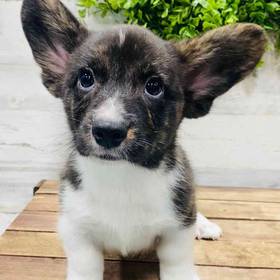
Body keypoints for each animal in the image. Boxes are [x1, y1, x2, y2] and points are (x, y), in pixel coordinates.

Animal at [20, 1, 266, 278]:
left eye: (154, 86)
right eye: (86, 79)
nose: (108, 131)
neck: (122, 176)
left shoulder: (177, 230)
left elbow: (177, 261)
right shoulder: (77, 231)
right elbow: (86, 266)